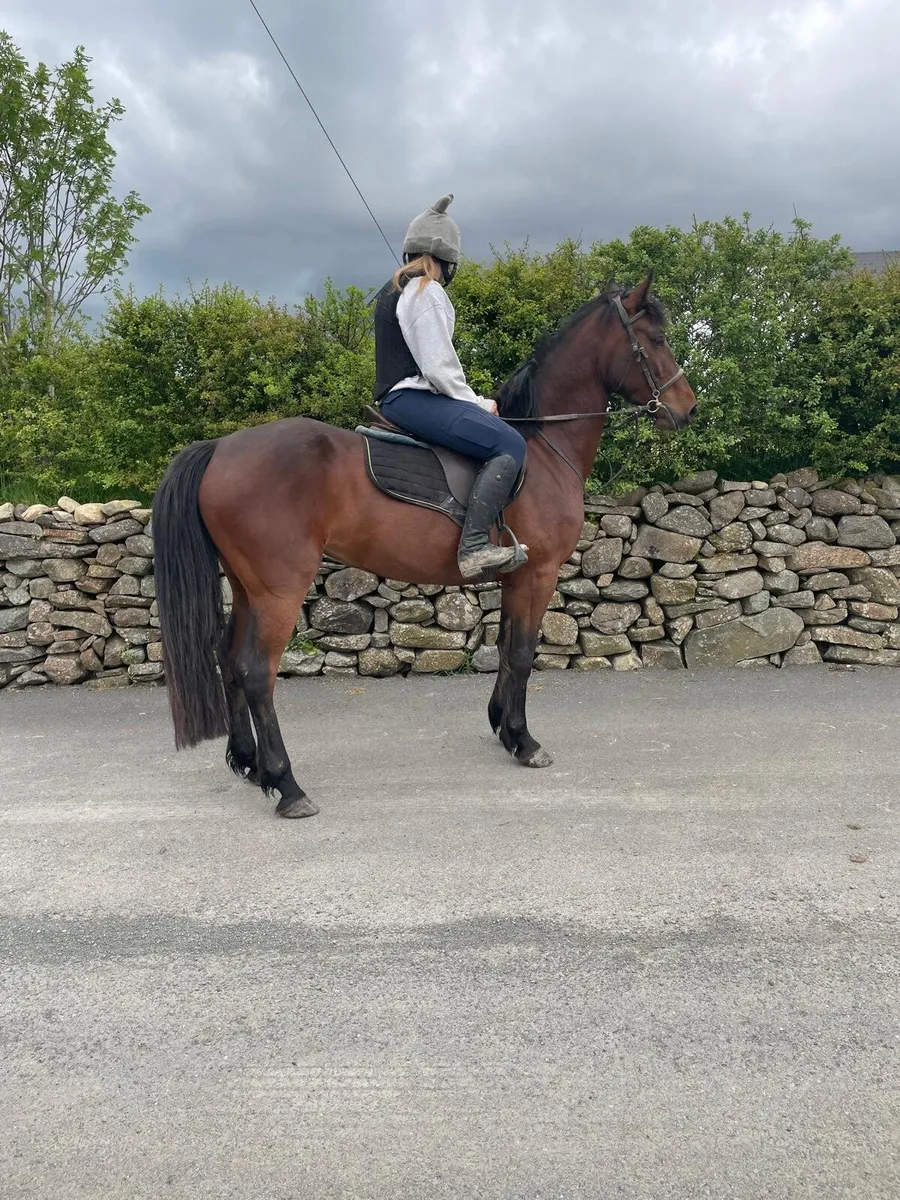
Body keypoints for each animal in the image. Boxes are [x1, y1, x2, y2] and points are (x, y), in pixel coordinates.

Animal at [152, 275, 698, 818]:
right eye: (655, 339)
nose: (687, 409)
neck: (545, 449)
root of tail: (220, 448)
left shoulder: (514, 576)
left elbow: (504, 647)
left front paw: (501, 725)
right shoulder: (537, 573)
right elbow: (522, 653)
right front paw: (524, 741)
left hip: (248, 587)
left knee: (228, 659)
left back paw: (249, 764)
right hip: (279, 590)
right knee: (256, 671)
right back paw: (287, 785)